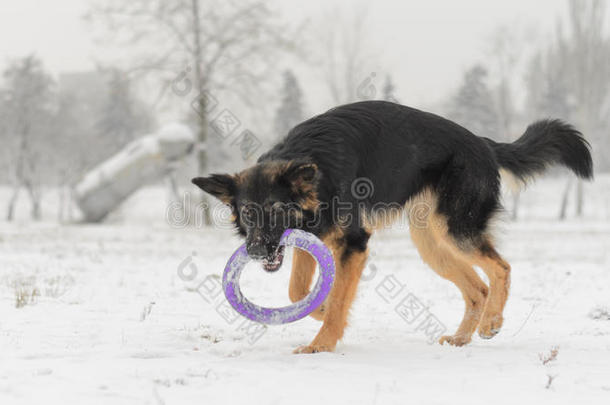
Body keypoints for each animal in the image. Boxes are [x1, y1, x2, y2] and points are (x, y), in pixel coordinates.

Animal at [192, 99, 592, 352]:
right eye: (247, 214)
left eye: (276, 210)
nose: (256, 251)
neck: (315, 173)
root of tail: (483, 143)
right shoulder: (310, 239)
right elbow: (298, 290)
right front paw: (318, 308)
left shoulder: (354, 244)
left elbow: (337, 299)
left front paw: (322, 343)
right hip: (432, 245)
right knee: (477, 287)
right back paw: (463, 338)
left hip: (456, 231)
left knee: (501, 268)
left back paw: (492, 321)